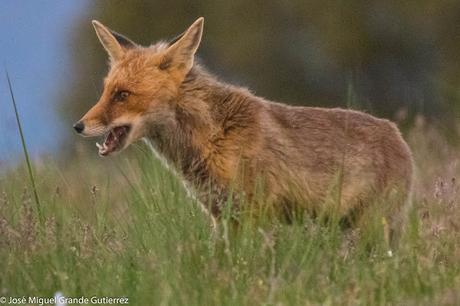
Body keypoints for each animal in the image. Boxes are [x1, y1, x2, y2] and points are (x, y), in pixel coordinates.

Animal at [74, 17, 414, 239]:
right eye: (105, 91)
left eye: (123, 95)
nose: (78, 126)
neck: (212, 139)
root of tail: (398, 135)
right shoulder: (221, 217)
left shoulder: (255, 214)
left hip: (369, 228)